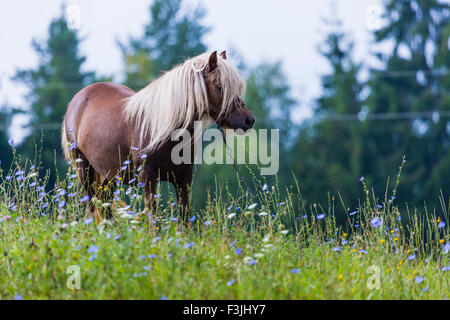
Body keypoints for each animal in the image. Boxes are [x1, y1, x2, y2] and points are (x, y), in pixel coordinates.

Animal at [61, 51, 255, 221]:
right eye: (219, 86)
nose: (248, 120)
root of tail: (79, 98)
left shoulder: (183, 179)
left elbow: (184, 219)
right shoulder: (148, 177)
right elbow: (151, 219)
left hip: (108, 176)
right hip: (84, 170)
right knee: (92, 209)